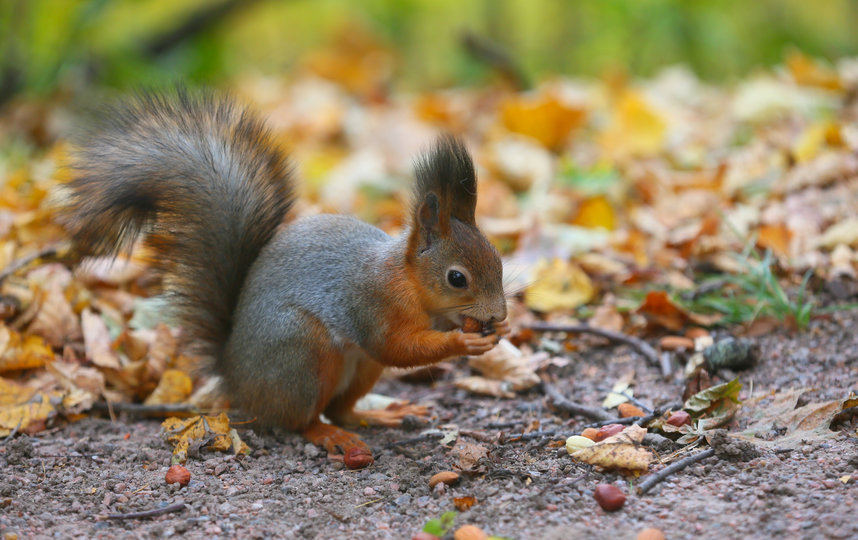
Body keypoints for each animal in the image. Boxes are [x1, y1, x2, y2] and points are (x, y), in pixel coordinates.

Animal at [65, 89, 508, 468]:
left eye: (498, 258)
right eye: (457, 278)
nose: (500, 314)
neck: (411, 282)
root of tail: (237, 378)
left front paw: (495, 333)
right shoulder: (372, 300)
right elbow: (396, 347)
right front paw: (462, 342)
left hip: (358, 368)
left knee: (341, 409)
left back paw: (383, 416)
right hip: (303, 353)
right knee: (301, 420)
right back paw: (328, 435)